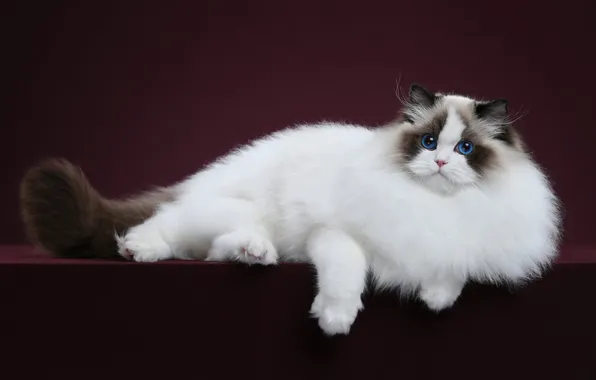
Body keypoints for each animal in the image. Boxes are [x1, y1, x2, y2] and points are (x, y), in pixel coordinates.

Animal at [19, 83, 564, 336]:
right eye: (428, 142)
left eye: (466, 149)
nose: (441, 161)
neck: (430, 207)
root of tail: (204, 177)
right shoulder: (335, 235)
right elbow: (346, 274)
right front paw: (336, 319)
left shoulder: (461, 243)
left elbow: (453, 272)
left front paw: (435, 299)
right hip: (224, 208)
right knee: (166, 226)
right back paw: (144, 250)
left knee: (216, 250)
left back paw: (253, 254)